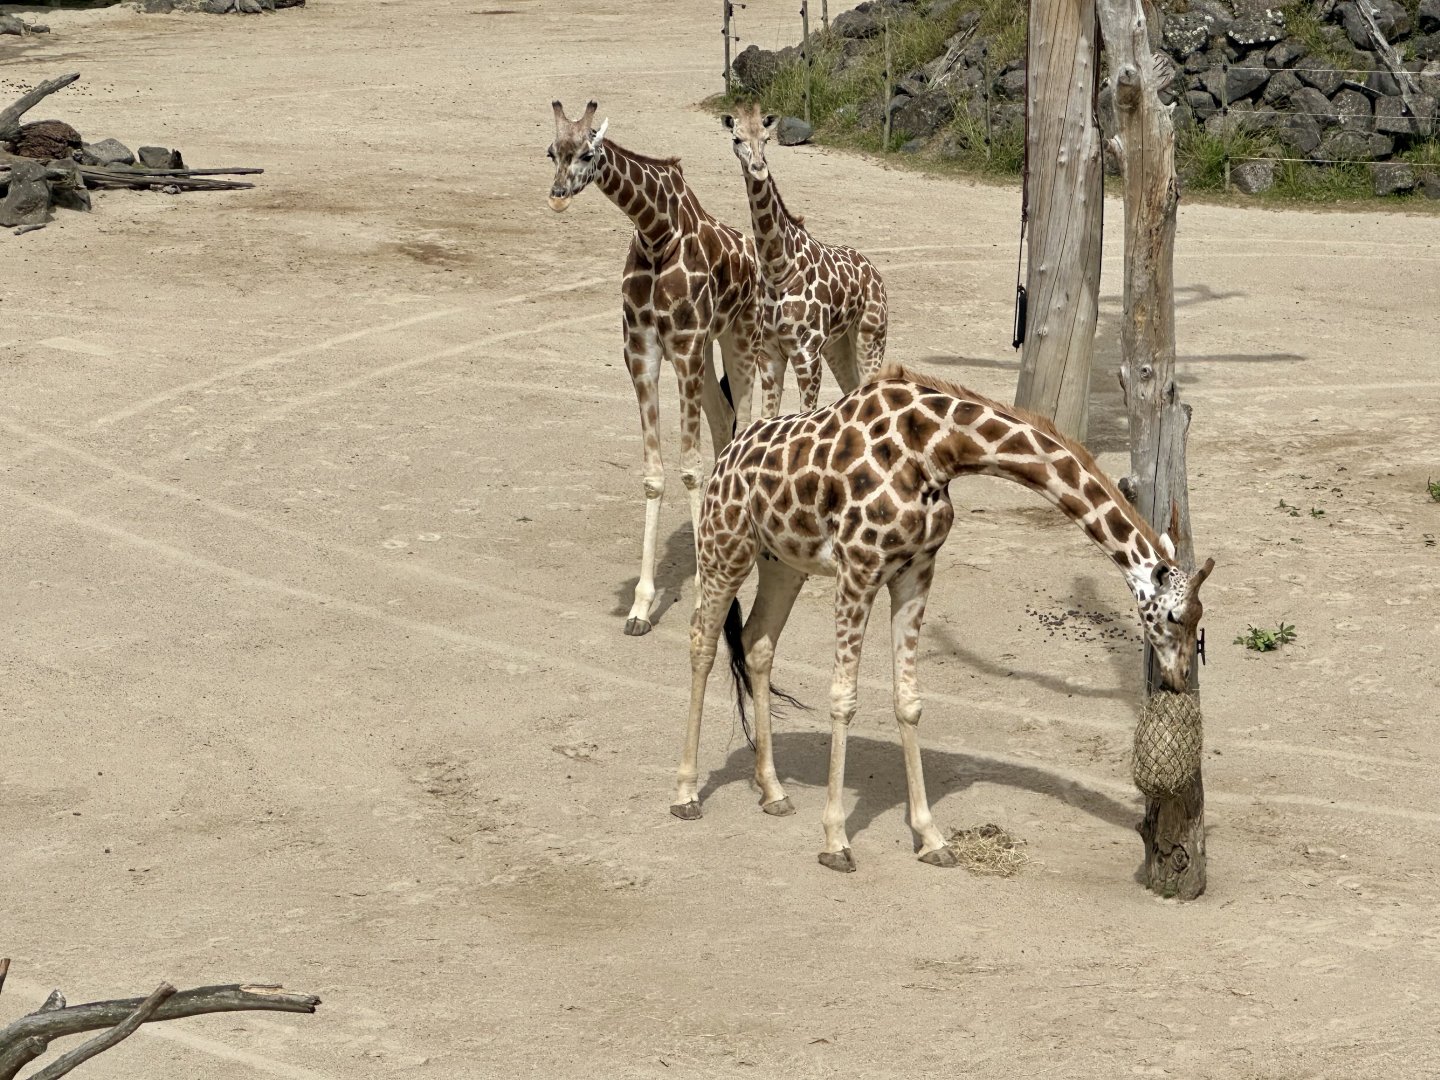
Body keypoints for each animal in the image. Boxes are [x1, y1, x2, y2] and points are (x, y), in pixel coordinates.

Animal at [547, 99, 766, 636]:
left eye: (588, 153)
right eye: (550, 152)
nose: (558, 197)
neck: (654, 232)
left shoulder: (683, 346)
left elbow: (689, 468)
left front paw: (700, 597)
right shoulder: (642, 351)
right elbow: (654, 474)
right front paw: (641, 607)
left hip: (740, 338)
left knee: (749, 421)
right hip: (707, 353)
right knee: (724, 421)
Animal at [671, 363, 1213, 873]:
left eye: (1198, 623)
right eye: (1174, 617)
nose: (1180, 678)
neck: (937, 448)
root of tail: (726, 455)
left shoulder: (915, 570)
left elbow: (908, 701)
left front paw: (931, 839)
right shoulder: (858, 569)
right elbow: (843, 698)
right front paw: (835, 841)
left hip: (782, 562)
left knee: (758, 642)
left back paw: (774, 792)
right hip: (725, 545)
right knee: (702, 639)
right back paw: (686, 794)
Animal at [723, 103, 889, 417]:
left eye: (767, 138)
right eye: (736, 139)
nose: (758, 169)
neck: (778, 269)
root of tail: (874, 272)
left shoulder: (807, 354)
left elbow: (804, 413)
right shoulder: (770, 354)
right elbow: (766, 417)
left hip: (871, 336)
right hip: (838, 345)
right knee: (851, 390)